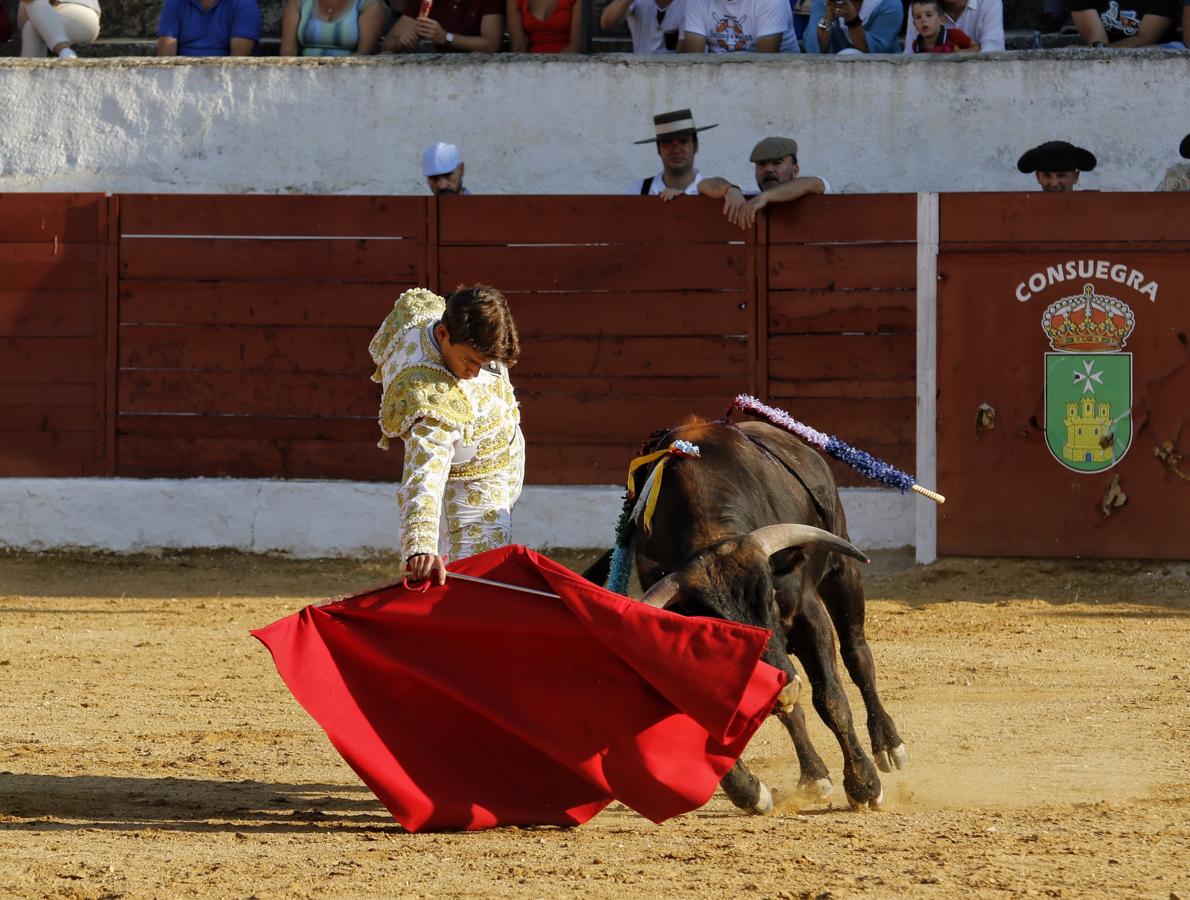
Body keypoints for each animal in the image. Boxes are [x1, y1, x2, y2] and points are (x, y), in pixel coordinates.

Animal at [587, 419, 909, 814]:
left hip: (841, 570)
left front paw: (864, 785)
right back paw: (814, 775)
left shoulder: (807, 612)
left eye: (770, 598)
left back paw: (888, 746)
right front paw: (749, 791)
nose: (783, 686)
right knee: (795, 708)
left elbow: (830, 697)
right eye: (718, 629)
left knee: (857, 655)